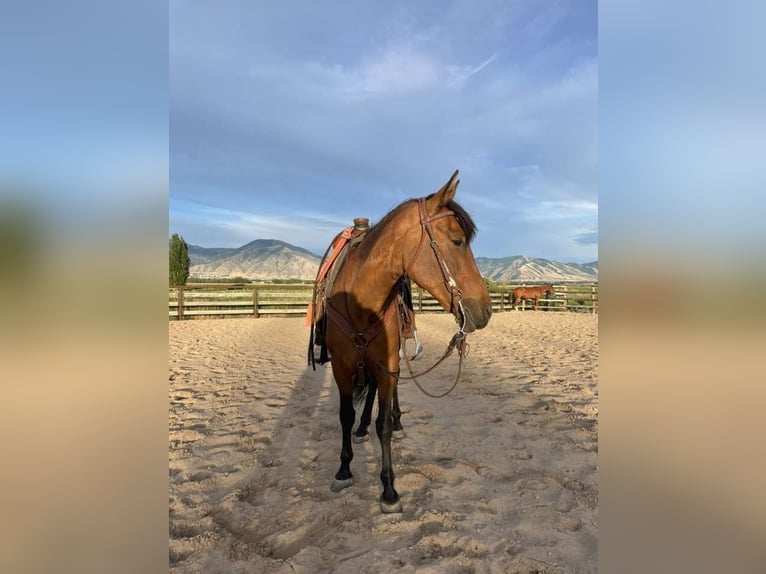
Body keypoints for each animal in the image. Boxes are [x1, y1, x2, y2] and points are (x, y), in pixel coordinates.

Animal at [310, 173, 492, 516]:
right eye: (458, 241)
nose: (485, 310)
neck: (360, 300)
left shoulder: (388, 365)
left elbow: (381, 424)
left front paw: (389, 488)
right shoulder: (341, 367)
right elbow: (345, 415)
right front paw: (344, 470)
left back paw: (394, 420)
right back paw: (360, 429)